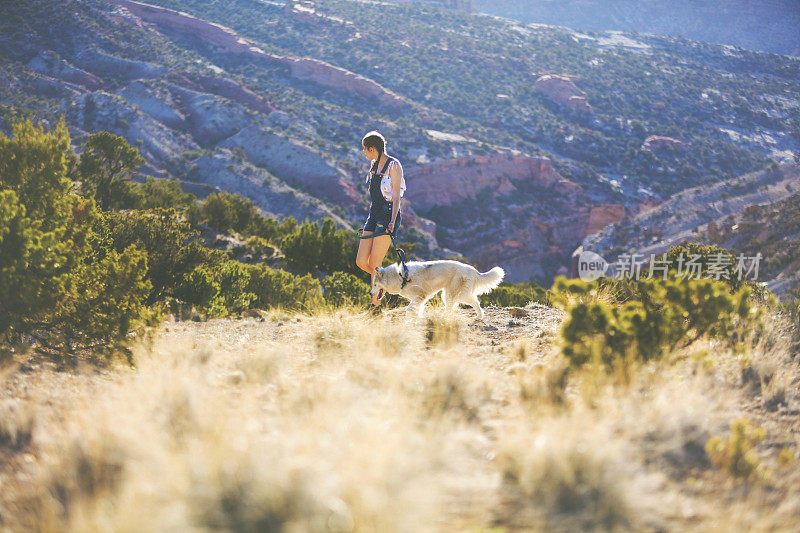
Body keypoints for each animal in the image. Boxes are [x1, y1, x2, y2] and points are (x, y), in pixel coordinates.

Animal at [372, 260, 504, 318]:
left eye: (374, 284)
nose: (370, 292)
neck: (400, 276)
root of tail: (475, 271)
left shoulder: (421, 295)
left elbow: (409, 309)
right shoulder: (420, 299)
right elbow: (416, 309)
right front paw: (418, 317)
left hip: (454, 294)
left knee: (459, 305)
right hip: (451, 294)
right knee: (475, 302)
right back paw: (479, 316)